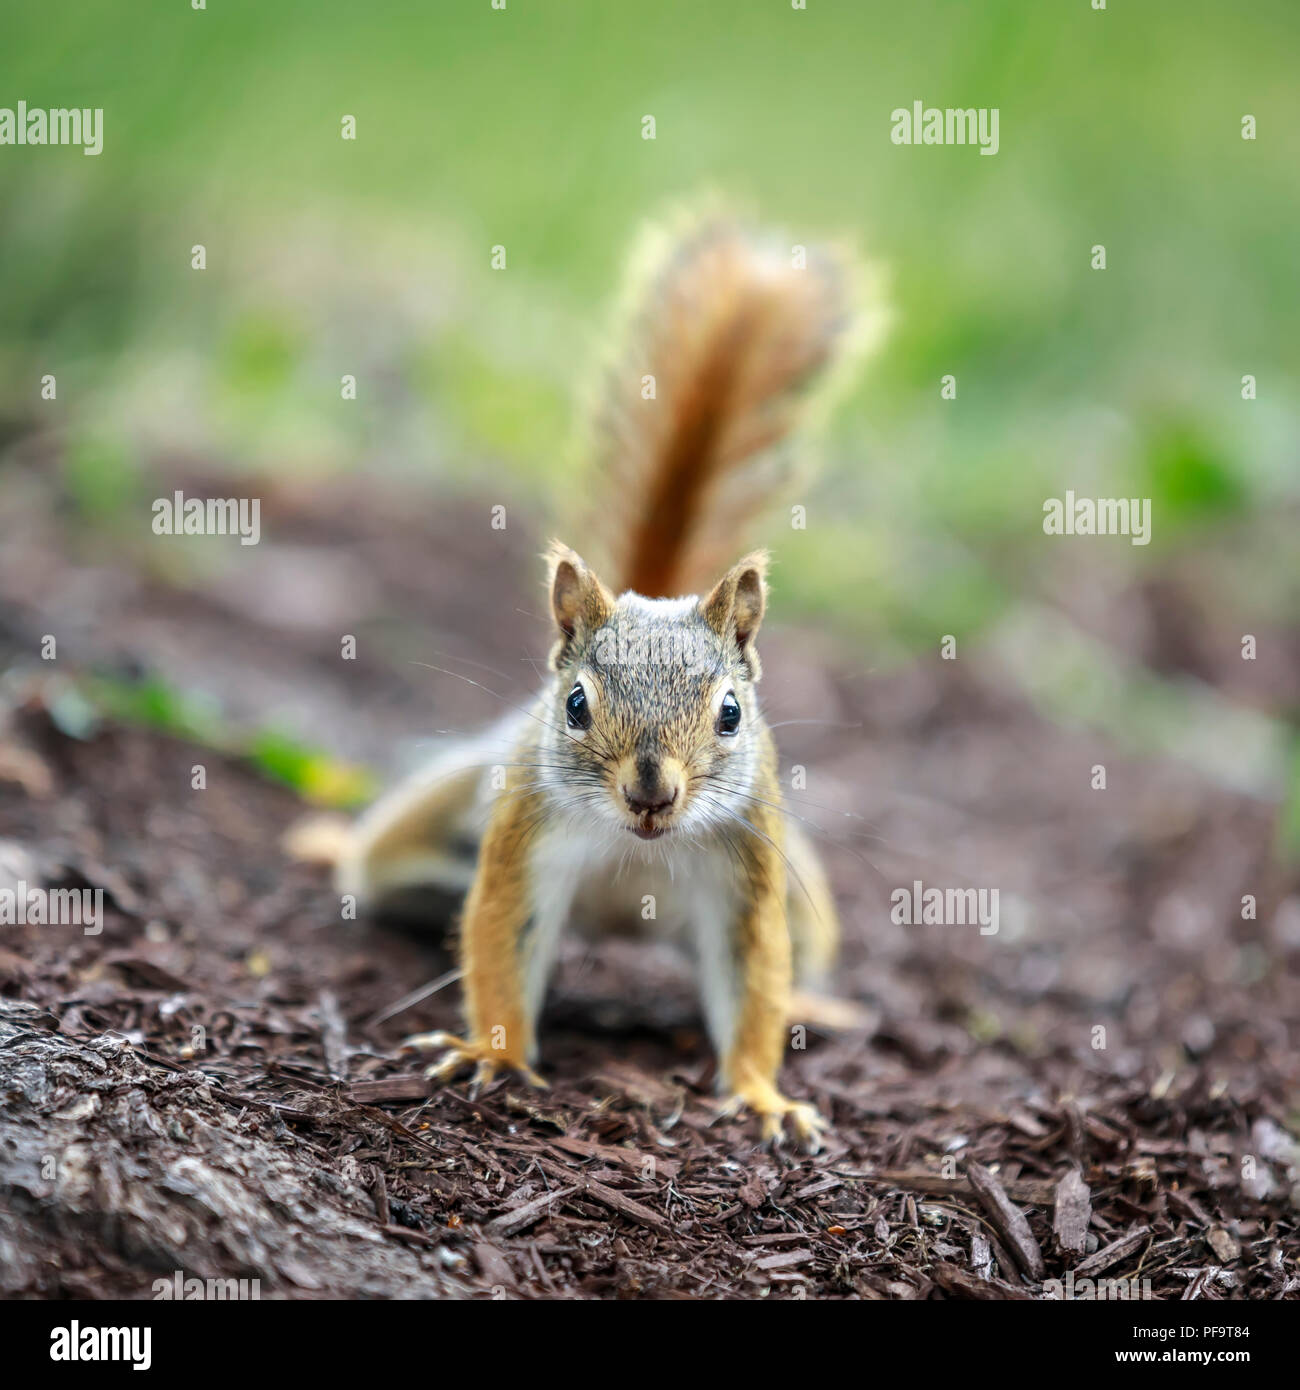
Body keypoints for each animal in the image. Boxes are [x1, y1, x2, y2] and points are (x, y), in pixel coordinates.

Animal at [335, 213, 867, 1148]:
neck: (636, 848)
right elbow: (500, 934)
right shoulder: (524, 835)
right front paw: (494, 1055)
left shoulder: (748, 873)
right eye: (577, 704)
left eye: (733, 713)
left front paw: (763, 1094)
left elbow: (756, 978)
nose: (651, 793)